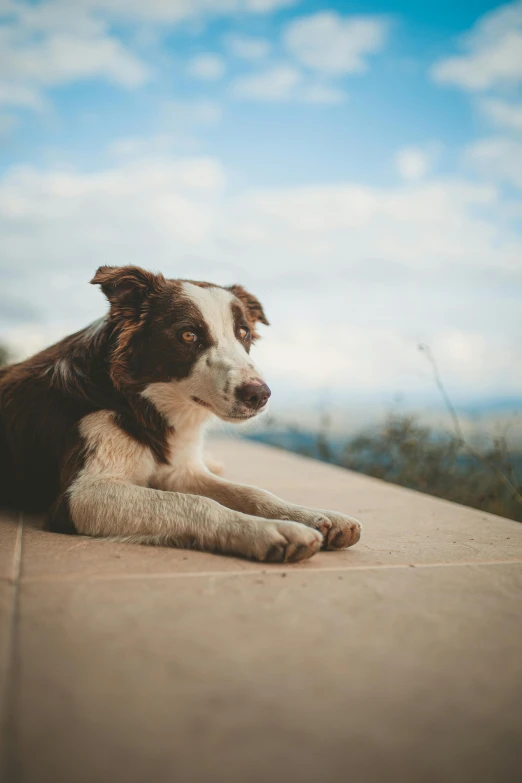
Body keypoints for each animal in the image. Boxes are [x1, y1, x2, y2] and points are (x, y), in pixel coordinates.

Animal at [0, 266, 360, 560]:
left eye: (243, 333)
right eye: (188, 334)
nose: (259, 394)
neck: (138, 402)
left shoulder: (181, 473)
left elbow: (251, 491)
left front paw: (313, 515)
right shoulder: (81, 496)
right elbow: (198, 503)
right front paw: (272, 530)